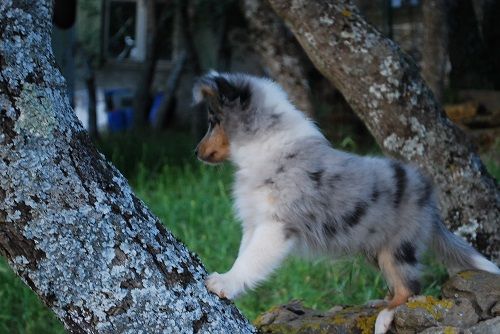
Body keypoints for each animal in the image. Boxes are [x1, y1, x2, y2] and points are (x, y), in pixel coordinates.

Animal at [192, 72, 500, 332]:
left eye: (213, 121)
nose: (195, 152)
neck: (265, 143)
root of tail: (429, 202)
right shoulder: (254, 221)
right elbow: (244, 254)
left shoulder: (276, 226)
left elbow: (251, 260)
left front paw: (223, 283)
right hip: (377, 246)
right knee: (402, 286)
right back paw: (380, 303)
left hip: (397, 247)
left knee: (410, 288)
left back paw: (385, 316)